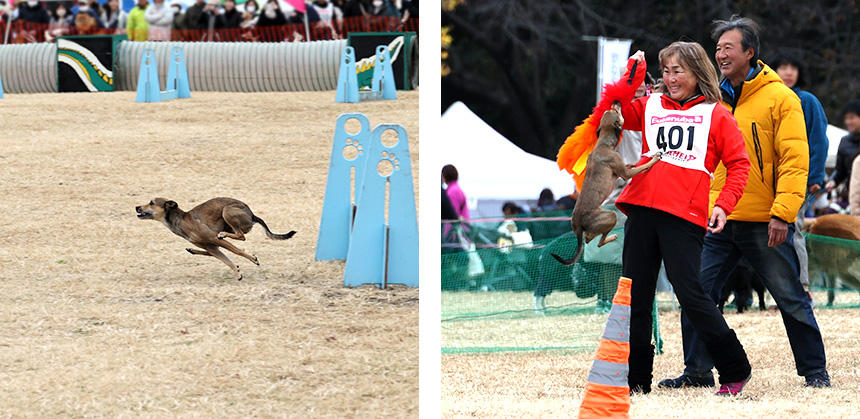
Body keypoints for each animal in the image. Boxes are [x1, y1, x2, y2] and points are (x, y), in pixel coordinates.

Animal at [134, 198, 296, 282]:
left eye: (152, 202)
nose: (136, 207)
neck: (181, 220)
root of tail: (251, 214)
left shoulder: (213, 239)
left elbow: (237, 251)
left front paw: (253, 259)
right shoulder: (212, 246)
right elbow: (226, 260)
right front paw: (237, 272)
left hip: (227, 212)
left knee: (240, 236)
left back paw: (223, 234)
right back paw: (193, 250)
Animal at [552, 101, 664, 266]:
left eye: (611, 109)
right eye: (616, 111)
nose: (616, 102)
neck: (603, 143)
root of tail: (577, 225)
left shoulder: (623, 168)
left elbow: (633, 164)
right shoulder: (625, 173)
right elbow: (641, 167)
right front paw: (654, 158)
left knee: (589, 239)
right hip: (611, 215)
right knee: (597, 241)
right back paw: (611, 237)